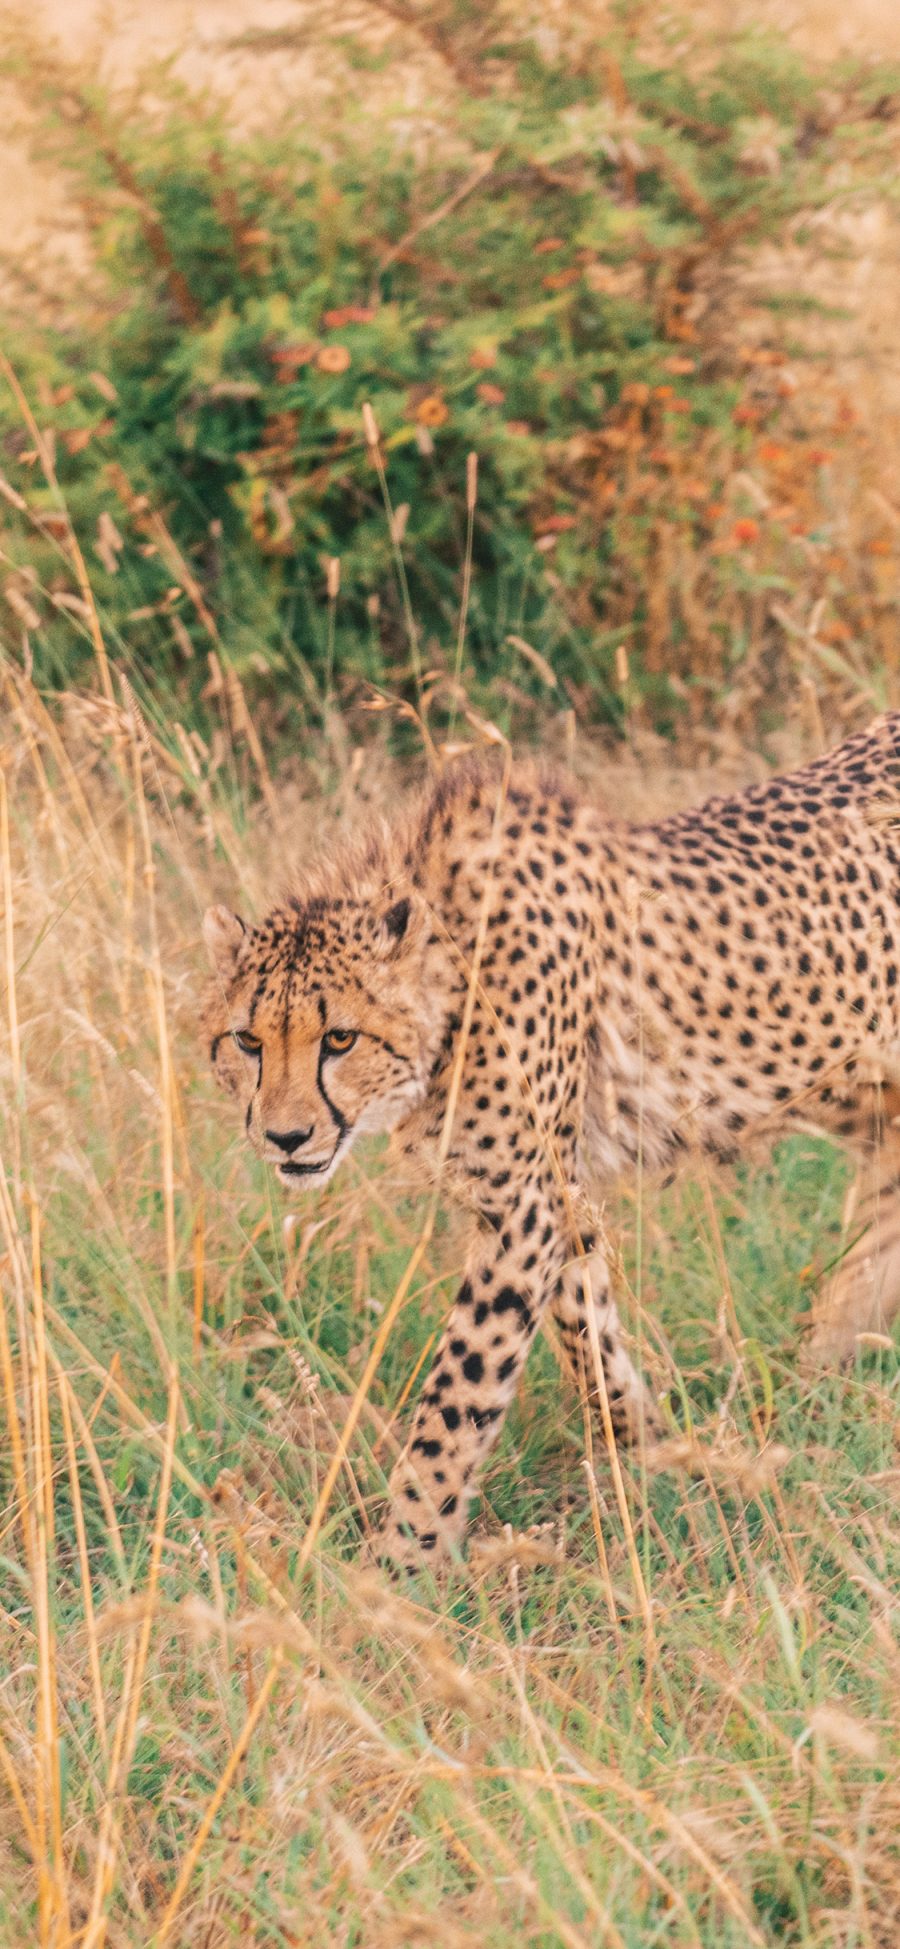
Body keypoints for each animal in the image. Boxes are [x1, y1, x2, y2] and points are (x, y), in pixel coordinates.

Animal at [203, 717, 900, 1566]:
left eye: (340, 1038)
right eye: (247, 1040)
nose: (285, 1135)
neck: (456, 962)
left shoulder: (524, 1206)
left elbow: (459, 1396)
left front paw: (401, 1558)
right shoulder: (549, 1201)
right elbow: (588, 1335)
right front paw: (659, 1450)